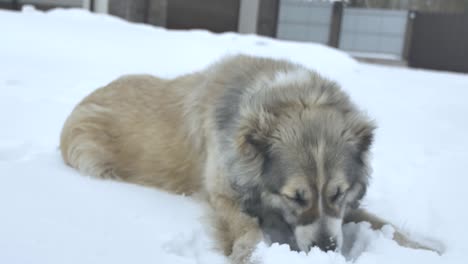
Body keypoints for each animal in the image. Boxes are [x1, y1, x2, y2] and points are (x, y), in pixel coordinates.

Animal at [60, 54, 436, 262]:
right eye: (295, 197)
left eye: (338, 194)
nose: (327, 249)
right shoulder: (223, 193)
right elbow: (245, 227)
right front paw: (251, 254)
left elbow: (379, 222)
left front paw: (425, 248)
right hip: (90, 155)